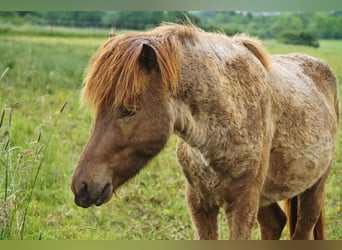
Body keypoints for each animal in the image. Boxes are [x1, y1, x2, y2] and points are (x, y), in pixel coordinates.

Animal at [71, 23, 340, 240]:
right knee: (274, 223)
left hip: (314, 187)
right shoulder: (200, 204)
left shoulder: (242, 208)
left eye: (128, 110)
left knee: (303, 228)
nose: (82, 186)